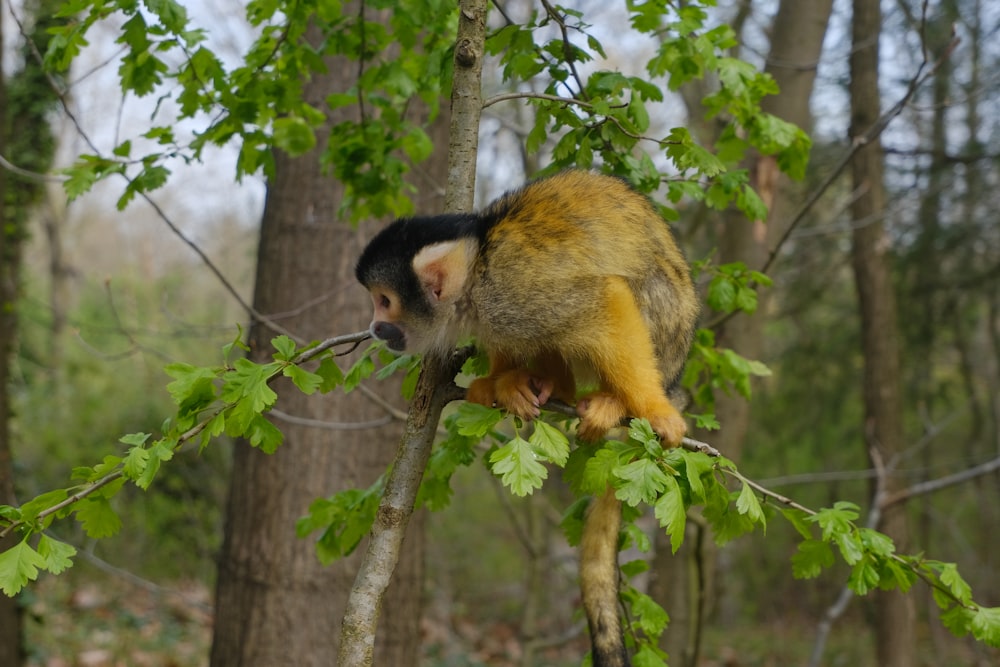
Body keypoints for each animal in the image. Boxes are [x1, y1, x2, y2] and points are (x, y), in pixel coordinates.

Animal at [358, 170, 696, 664]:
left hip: (667, 338)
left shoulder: (509, 294)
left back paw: (618, 401)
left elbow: (602, 300)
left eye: (384, 301)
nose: (374, 328)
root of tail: (676, 371)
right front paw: (502, 381)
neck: (475, 276)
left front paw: (652, 409)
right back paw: (549, 385)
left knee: (636, 291)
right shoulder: (496, 311)